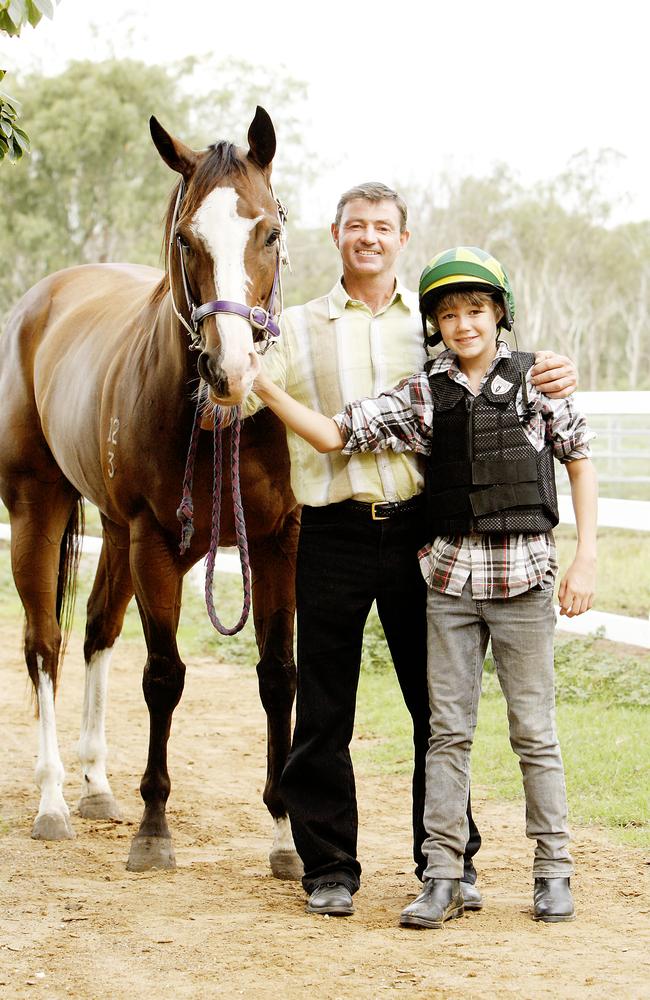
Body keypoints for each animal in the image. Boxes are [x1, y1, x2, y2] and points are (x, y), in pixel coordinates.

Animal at [0, 105, 302, 880]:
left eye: (270, 232)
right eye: (186, 239)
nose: (231, 372)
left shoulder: (275, 542)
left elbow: (277, 676)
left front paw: (286, 834)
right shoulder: (156, 544)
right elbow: (164, 676)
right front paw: (154, 828)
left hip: (110, 529)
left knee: (95, 634)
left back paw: (96, 787)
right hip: (39, 507)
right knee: (44, 644)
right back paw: (53, 801)